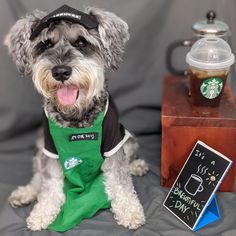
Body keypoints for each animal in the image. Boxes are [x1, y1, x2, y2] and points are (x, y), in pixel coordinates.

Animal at [4, 4, 148, 232]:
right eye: (45, 44)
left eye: (81, 42)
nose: (61, 71)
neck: (76, 117)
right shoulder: (50, 150)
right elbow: (50, 184)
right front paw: (42, 212)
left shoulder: (113, 144)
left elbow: (120, 181)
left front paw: (130, 211)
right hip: (40, 146)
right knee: (38, 175)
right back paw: (26, 193)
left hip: (129, 138)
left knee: (129, 156)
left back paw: (137, 166)